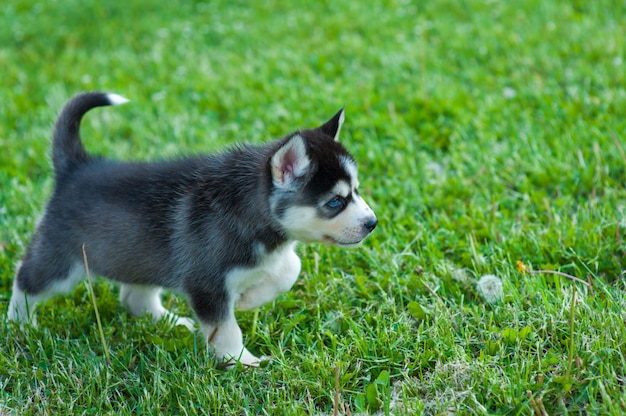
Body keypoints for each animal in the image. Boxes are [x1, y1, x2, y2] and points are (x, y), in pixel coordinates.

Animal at [7, 92, 376, 368]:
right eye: (335, 202)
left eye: (356, 191)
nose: (372, 223)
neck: (247, 209)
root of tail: (77, 167)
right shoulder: (206, 284)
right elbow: (226, 328)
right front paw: (242, 361)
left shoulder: (268, 255)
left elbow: (291, 267)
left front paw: (250, 299)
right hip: (62, 263)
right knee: (26, 278)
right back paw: (19, 325)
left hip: (141, 257)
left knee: (134, 297)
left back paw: (169, 321)